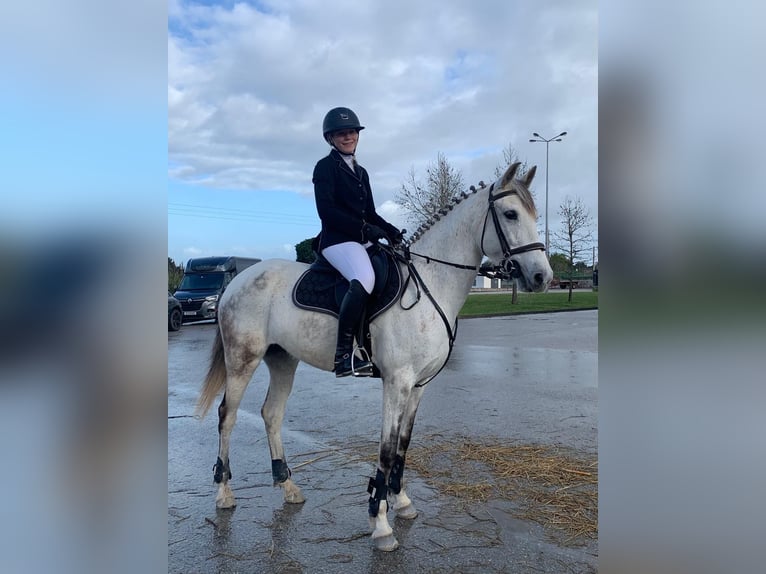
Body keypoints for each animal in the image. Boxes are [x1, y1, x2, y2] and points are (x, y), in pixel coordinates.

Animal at [195, 161, 556, 552]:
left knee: (271, 414)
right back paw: (224, 492)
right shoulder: (396, 382)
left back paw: (288, 487)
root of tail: (238, 280)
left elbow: (402, 446)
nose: (543, 276)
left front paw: (401, 502)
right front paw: (380, 523)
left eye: (535, 215)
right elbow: (385, 449)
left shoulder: (418, 386)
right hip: (242, 359)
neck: (430, 282)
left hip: (283, 360)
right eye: (510, 214)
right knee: (227, 416)